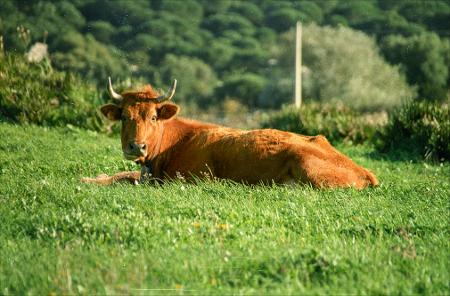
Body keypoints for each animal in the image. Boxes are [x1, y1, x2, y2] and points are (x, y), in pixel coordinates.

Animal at [81, 78, 380, 190]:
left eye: (153, 117)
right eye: (124, 117)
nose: (136, 147)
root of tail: (366, 172)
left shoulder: (189, 178)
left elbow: (126, 179)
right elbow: (124, 174)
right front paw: (91, 177)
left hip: (306, 165)